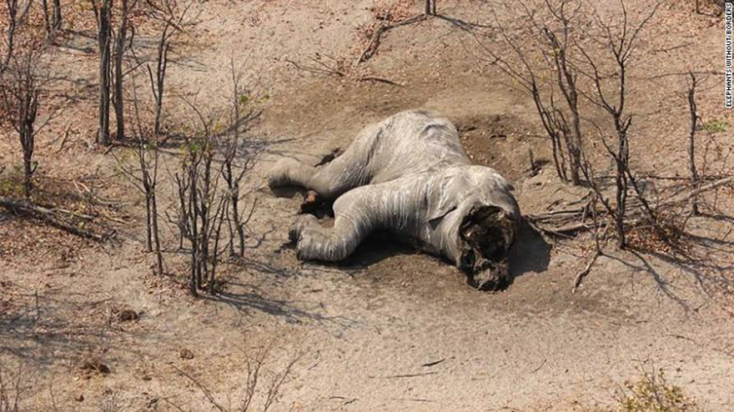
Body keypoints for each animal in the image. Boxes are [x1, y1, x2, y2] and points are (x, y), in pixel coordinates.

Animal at [268, 110, 521, 290]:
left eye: (500, 247)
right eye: (480, 217)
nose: (492, 281)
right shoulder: (415, 195)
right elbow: (349, 202)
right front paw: (298, 233)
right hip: (378, 136)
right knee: (328, 181)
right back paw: (275, 174)